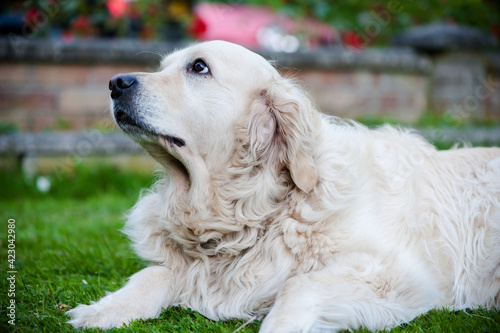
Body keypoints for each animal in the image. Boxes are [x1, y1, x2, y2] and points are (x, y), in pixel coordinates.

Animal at [67, 41, 500, 332]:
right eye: (163, 66)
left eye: (199, 67)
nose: (115, 82)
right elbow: (154, 273)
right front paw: (103, 310)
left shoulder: (395, 274)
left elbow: (299, 286)